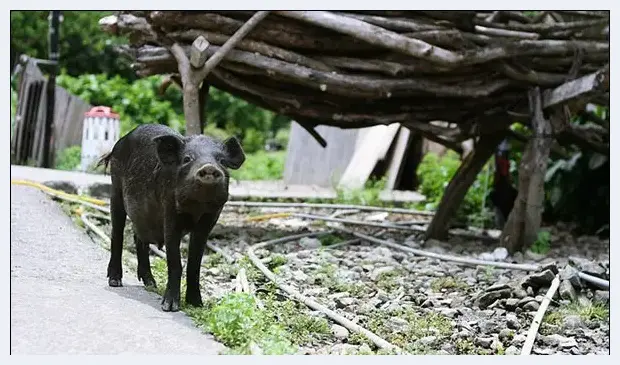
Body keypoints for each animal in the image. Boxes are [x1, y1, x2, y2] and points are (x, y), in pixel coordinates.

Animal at [98, 124, 245, 310]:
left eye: (222, 161)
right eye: (187, 158)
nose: (209, 167)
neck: (196, 208)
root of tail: (119, 143)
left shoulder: (209, 219)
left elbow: (195, 264)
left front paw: (197, 304)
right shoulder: (170, 213)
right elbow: (175, 261)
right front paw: (169, 307)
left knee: (139, 238)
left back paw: (151, 284)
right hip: (115, 190)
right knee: (117, 233)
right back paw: (115, 281)